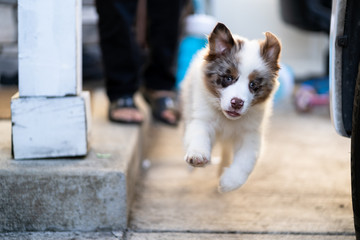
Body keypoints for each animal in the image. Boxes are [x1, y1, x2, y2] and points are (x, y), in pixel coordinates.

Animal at [181, 21, 280, 192]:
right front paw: (198, 155)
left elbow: (246, 160)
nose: (237, 103)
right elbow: (198, 135)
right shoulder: (202, 119)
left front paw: (230, 181)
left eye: (253, 84)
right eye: (228, 78)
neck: (226, 119)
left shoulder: (250, 134)